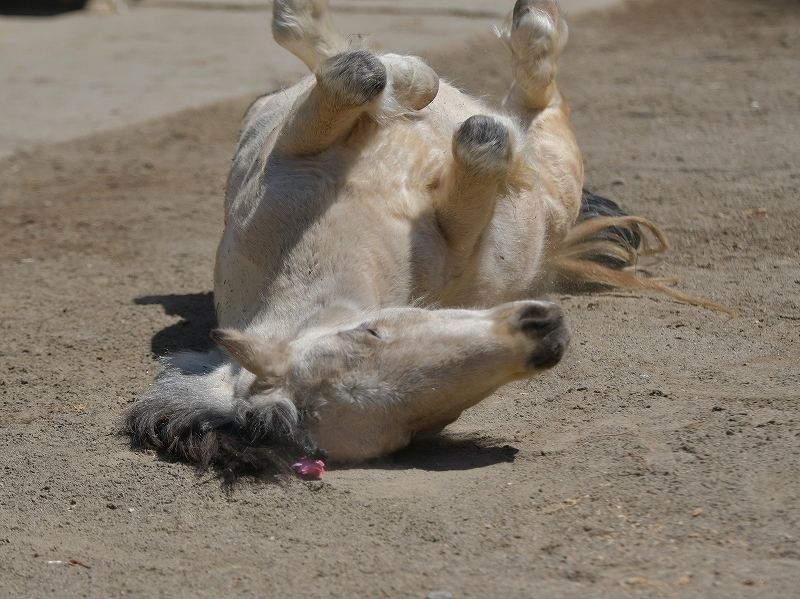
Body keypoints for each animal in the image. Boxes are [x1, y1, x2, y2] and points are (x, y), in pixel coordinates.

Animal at [125, 0, 688, 478]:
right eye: (417, 428)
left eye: (369, 332)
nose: (543, 331)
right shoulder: (453, 236)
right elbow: (478, 144)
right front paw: (468, 128)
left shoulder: (292, 155)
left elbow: (360, 77)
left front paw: (408, 84)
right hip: (557, 178)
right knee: (540, 100)